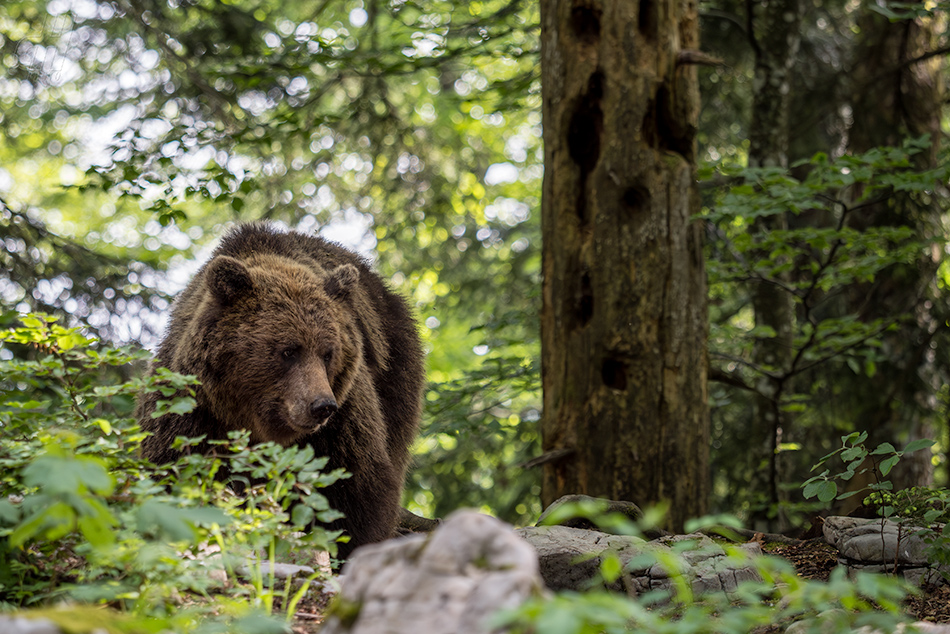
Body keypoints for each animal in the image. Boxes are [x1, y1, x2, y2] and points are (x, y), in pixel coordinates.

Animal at [139, 220, 426, 556]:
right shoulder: (191, 406)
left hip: (397, 371)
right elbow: (173, 468)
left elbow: (356, 488)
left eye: (328, 353)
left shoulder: (342, 420)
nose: (322, 406)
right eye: (289, 350)